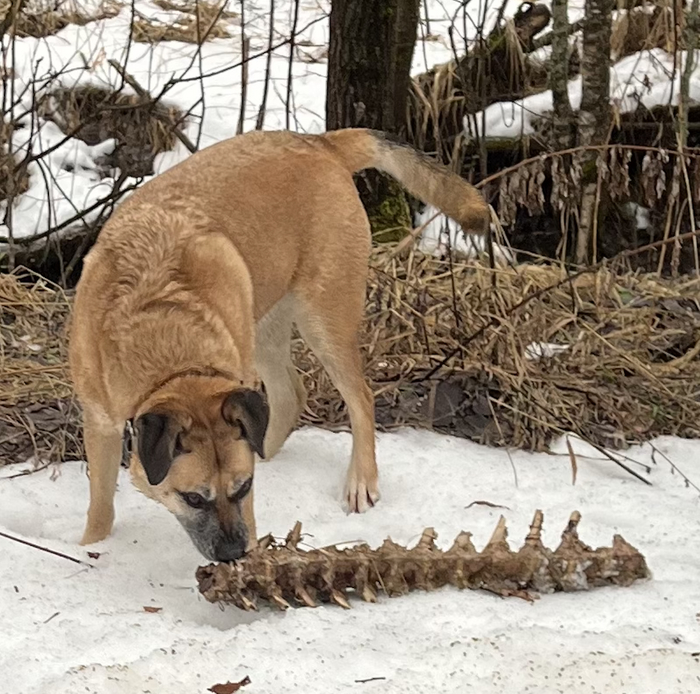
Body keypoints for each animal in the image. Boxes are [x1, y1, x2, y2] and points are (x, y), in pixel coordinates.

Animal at [69, 128, 486, 564]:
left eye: (243, 487)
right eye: (193, 498)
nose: (235, 553)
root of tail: (320, 142)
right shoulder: (99, 420)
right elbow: (101, 505)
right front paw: (92, 547)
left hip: (323, 318)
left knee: (360, 396)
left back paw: (360, 479)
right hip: (265, 322)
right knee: (291, 392)